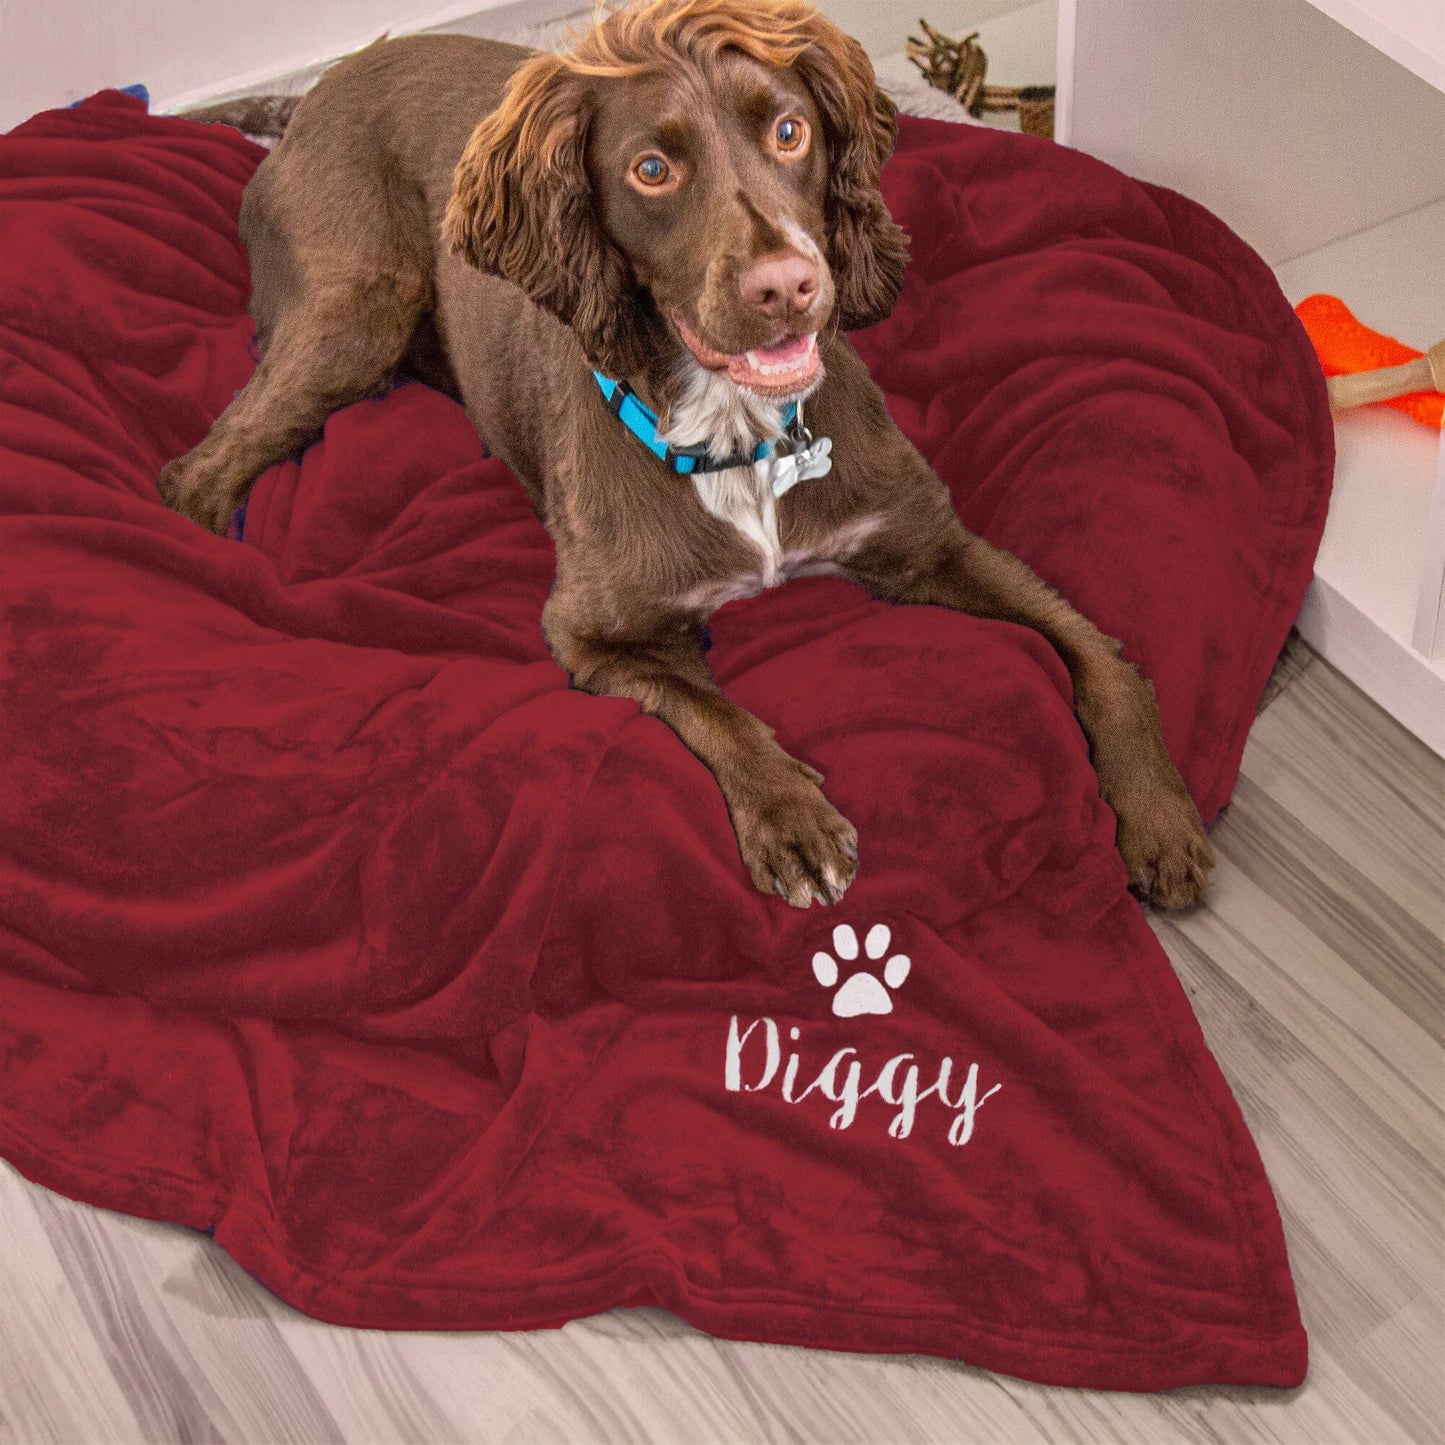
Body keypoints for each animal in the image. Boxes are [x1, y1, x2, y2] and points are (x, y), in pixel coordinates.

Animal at [164, 0, 1213, 901]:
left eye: (790, 132)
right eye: (650, 170)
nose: (788, 285)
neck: (742, 438)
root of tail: (317, 90)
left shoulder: (925, 542)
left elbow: (1097, 654)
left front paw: (1160, 818)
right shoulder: (593, 633)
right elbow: (712, 708)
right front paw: (790, 817)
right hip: (358, 306)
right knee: (193, 473)